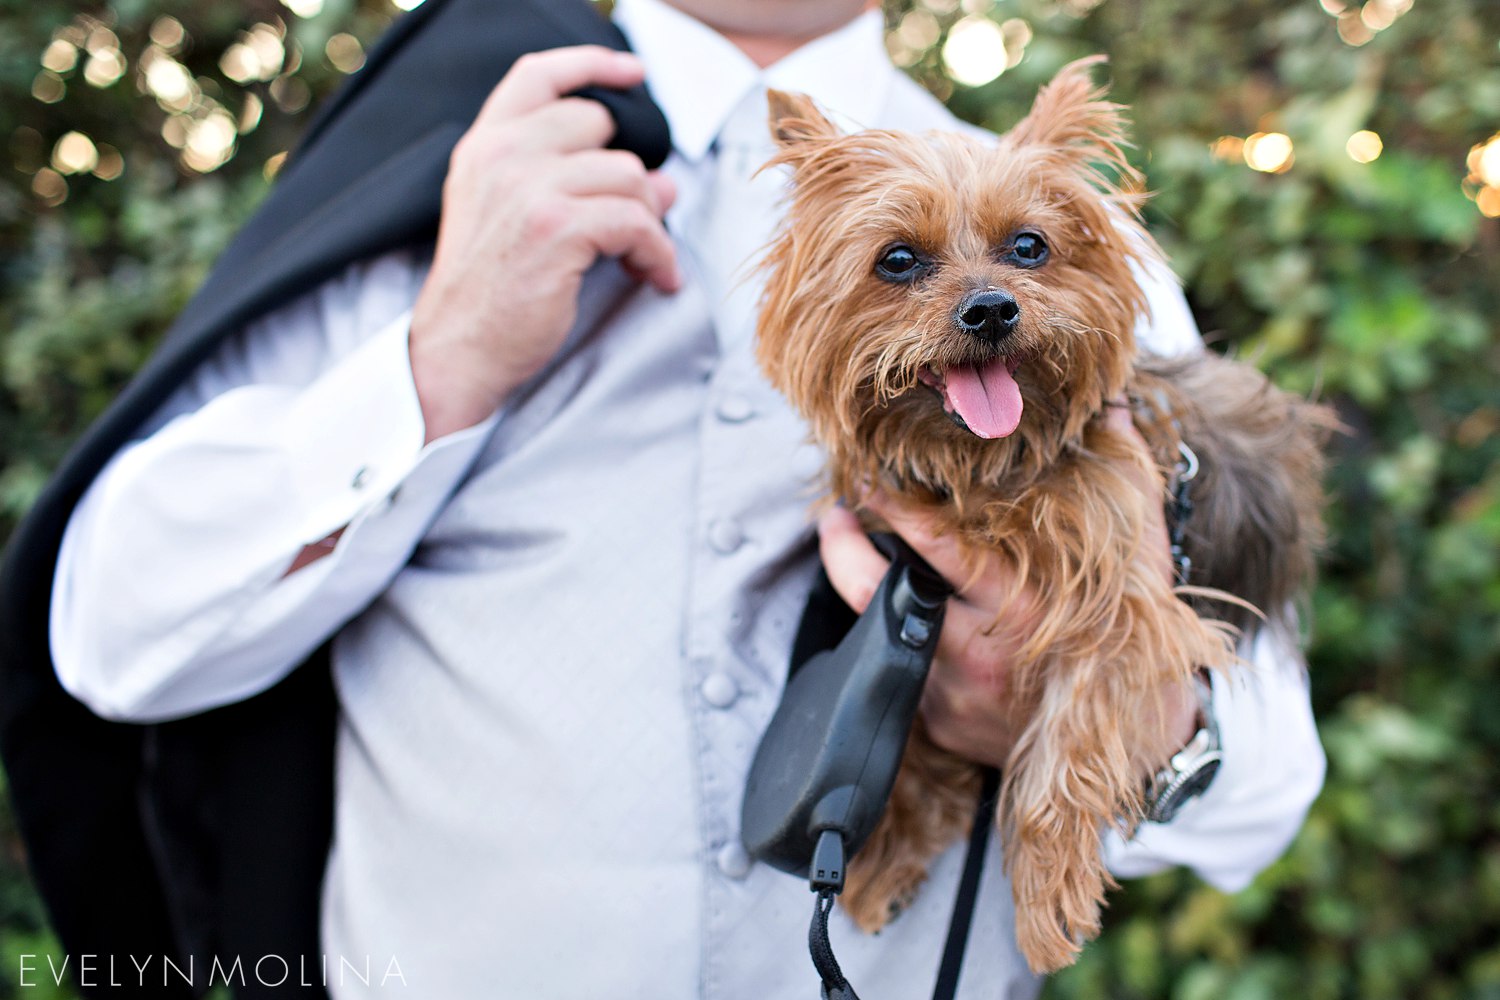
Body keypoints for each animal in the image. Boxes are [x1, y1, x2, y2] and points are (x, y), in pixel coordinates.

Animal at [756, 58, 1332, 971]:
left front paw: (1046, 891)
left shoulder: (1129, 597)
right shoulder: (901, 580)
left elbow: (1073, 733)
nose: (992, 308)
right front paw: (896, 848)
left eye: (1029, 246)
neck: (983, 474)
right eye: (897, 260)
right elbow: (909, 734)